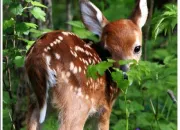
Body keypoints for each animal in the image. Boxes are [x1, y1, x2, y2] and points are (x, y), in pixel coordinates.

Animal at [25, 0, 148, 129]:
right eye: (107, 51)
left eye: (137, 48)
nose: (124, 74)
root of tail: (40, 56)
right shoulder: (104, 108)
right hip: (77, 102)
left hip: (35, 99)